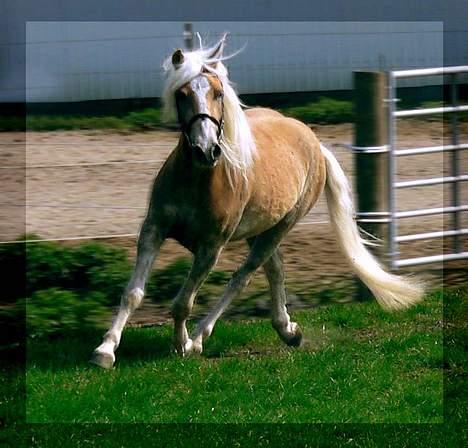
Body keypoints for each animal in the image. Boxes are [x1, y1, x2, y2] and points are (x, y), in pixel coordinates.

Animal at [91, 36, 424, 370]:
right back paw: (288, 330)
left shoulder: (211, 247)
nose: (206, 150)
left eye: (218, 93)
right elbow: (133, 293)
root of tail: (315, 143)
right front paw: (106, 349)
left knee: (244, 276)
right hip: (260, 229)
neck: (198, 179)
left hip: (280, 227)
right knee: (275, 269)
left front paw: (181, 344)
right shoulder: (154, 229)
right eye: (182, 94)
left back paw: (201, 338)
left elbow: (183, 302)